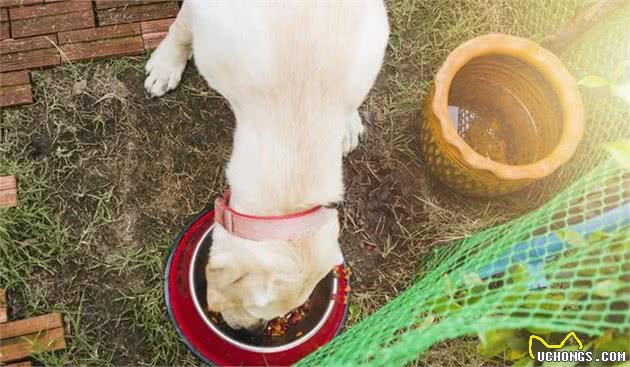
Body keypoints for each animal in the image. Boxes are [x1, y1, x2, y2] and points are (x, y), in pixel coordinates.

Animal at [147, 0, 390, 330]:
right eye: (253, 310)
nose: (246, 330)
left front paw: (349, 123)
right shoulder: (203, 13)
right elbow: (181, 30)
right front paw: (166, 64)